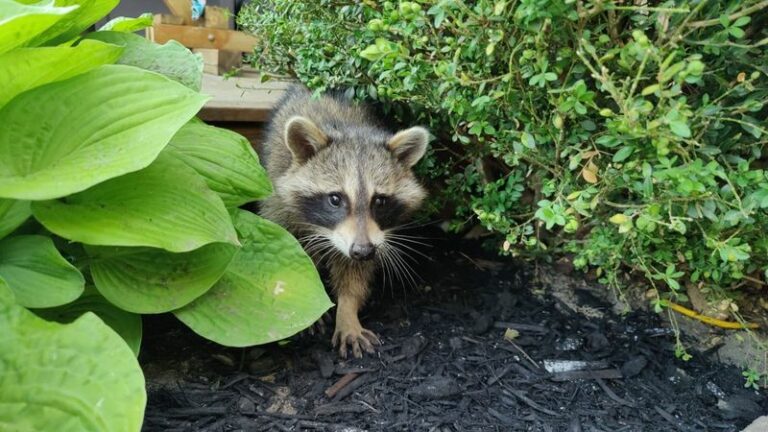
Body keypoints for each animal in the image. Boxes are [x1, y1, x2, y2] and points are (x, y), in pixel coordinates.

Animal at [260, 86, 429, 358]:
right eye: (335, 199)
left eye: (380, 201)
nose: (363, 250)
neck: (349, 130)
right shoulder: (279, 208)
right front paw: (309, 299)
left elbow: (355, 273)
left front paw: (347, 310)